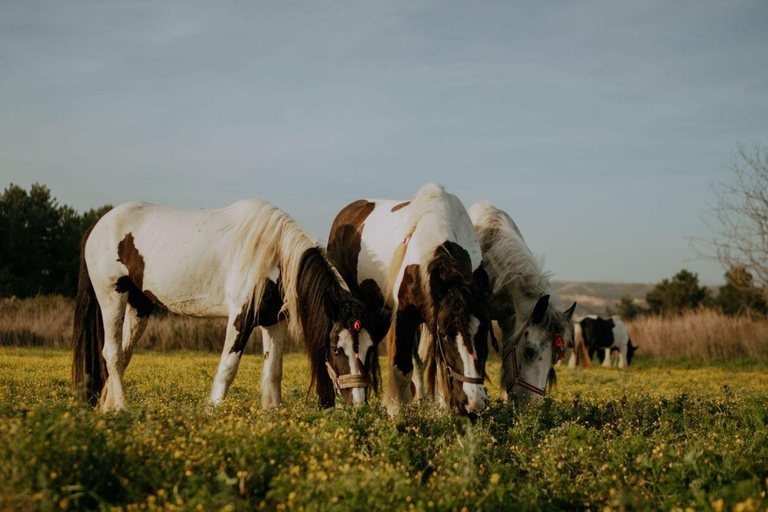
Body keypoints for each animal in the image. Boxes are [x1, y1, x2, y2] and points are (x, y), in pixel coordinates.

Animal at [71, 199, 380, 412]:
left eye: (368, 349)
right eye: (336, 348)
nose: (359, 405)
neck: (275, 254)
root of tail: (98, 225)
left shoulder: (273, 322)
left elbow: (273, 373)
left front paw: (273, 416)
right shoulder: (240, 318)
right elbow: (227, 369)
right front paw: (212, 413)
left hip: (139, 306)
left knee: (122, 356)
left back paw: (108, 408)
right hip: (112, 297)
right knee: (111, 353)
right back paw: (123, 407)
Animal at [328, 184, 495, 415]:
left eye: (484, 331)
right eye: (444, 335)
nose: (473, 402)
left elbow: (437, 366)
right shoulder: (405, 317)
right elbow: (402, 368)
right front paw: (396, 413)